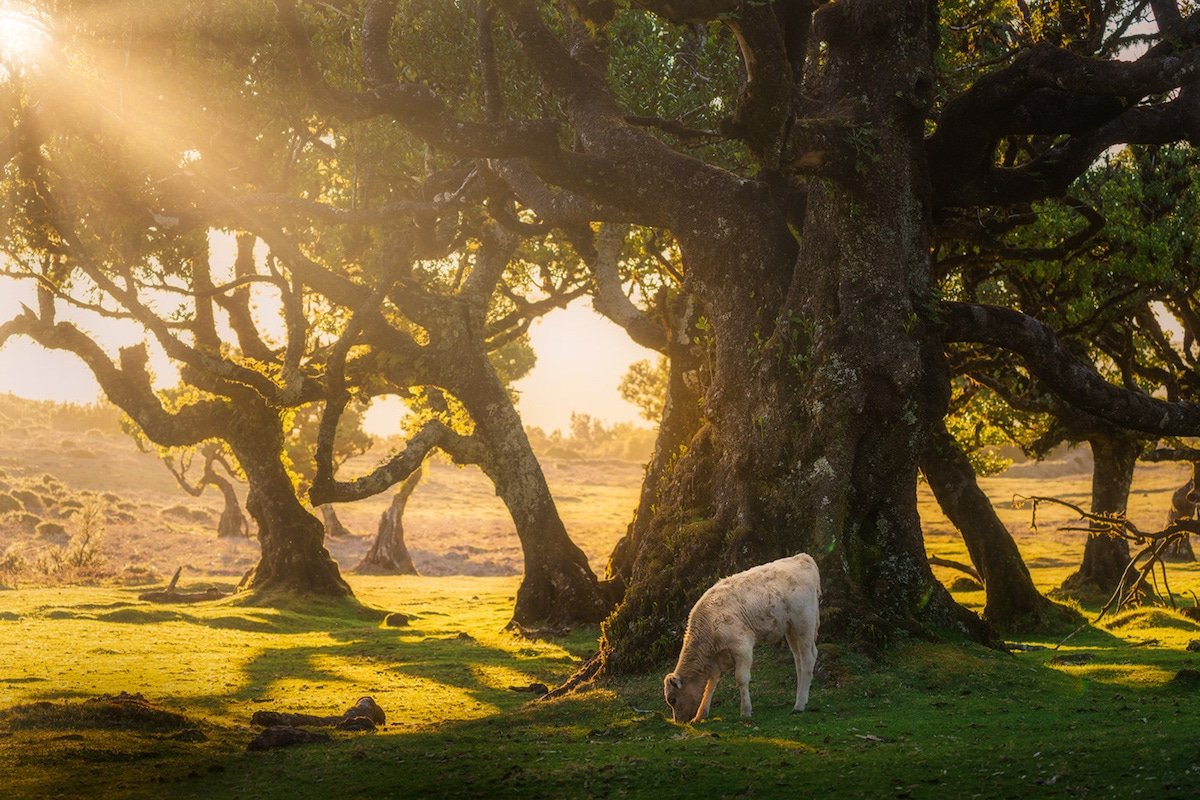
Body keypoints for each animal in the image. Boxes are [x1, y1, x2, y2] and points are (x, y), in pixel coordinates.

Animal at [662, 554, 820, 724]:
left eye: (672, 699)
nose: (678, 721)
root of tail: (802, 557)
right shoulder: (715, 660)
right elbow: (711, 685)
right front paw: (700, 715)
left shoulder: (742, 647)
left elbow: (741, 679)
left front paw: (745, 711)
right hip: (791, 631)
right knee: (799, 661)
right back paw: (802, 698)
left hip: (804, 624)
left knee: (808, 658)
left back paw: (799, 705)